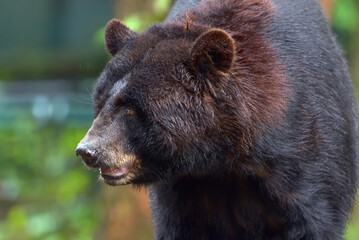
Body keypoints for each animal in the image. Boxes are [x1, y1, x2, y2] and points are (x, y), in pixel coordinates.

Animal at [75, 0, 358, 240]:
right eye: (101, 101)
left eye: (131, 108)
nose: (88, 150)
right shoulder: (182, 191)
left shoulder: (306, 155)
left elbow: (314, 216)